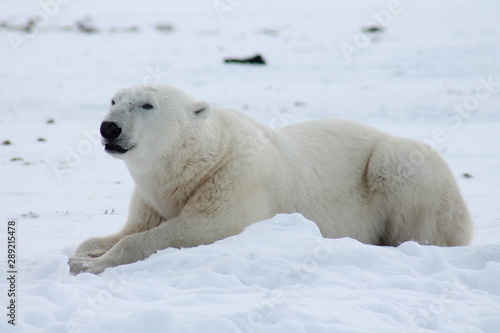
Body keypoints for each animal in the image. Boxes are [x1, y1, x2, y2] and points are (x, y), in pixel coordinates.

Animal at [69, 84, 472, 274]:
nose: (110, 128)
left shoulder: (236, 178)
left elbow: (203, 227)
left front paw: (89, 265)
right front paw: (85, 252)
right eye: (114, 99)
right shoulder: (153, 196)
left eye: (147, 105)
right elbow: (131, 228)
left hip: (401, 165)